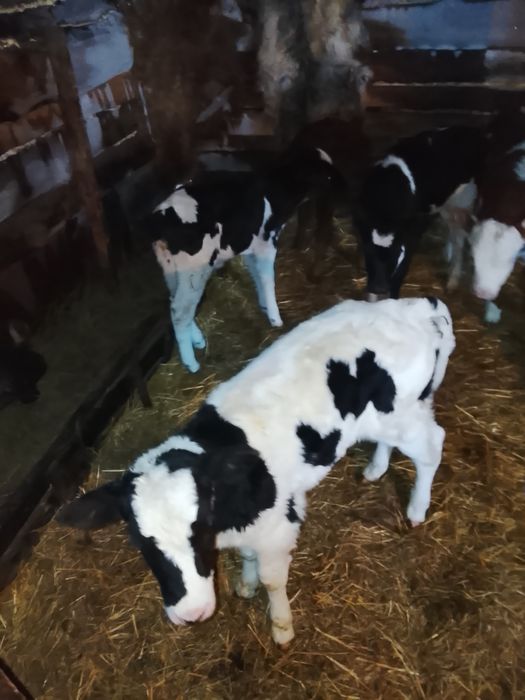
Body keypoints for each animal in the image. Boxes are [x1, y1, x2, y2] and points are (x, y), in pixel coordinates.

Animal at [57, 296, 455, 646]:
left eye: (198, 529)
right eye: (140, 542)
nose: (192, 613)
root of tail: (418, 307)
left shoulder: (280, 525)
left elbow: (273, 580)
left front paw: (281, 627)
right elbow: (248, 558)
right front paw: (245, 584)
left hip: (404, 415)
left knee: (432, 446)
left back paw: (416, 509)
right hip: (393, 415)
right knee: (393, 441)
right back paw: (375, 468)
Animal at [142, 147, 344, 373]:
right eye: (327, 175)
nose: (343, 187)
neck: (277, 190)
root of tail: (159, 217)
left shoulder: (251, 246)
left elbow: (256, 276)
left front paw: (264, 306)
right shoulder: (267, 242)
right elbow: (267, 278)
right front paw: (275, 317)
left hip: (170, 267)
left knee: (175, 302)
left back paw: (197, 339)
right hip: (194, 268)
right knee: (180, 310)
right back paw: (191, 362)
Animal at [353, 125, 486, 301]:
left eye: (397, 250)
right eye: (367, 249)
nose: (379, 287)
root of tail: (475, 130)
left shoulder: (413, 230)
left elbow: (400, 272)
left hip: (465, 201)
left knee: (460, 238)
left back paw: (453, 281)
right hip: (446, 205)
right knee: (453, 232)